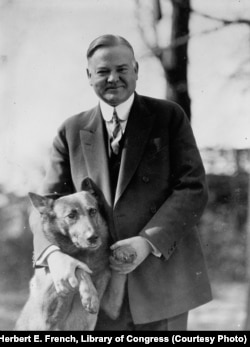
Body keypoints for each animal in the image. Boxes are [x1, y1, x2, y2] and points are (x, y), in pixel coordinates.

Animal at [15, 190, 137, 332]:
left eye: (92, 211)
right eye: (71, 215)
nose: (93, 238)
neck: (83, 254)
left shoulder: (111, 307)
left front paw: (123, 250)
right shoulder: (48, 313)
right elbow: (79, 268)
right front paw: (90, 296)